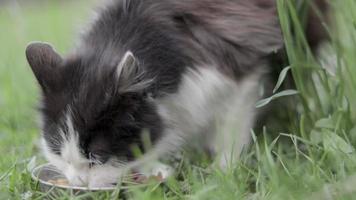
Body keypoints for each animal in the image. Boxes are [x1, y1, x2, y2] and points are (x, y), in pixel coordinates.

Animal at [24, 0, 326, 188]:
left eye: (96, 157)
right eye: (59, 153)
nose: (78, 183)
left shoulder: (238, 71)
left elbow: (231, 132)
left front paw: (224, 173)